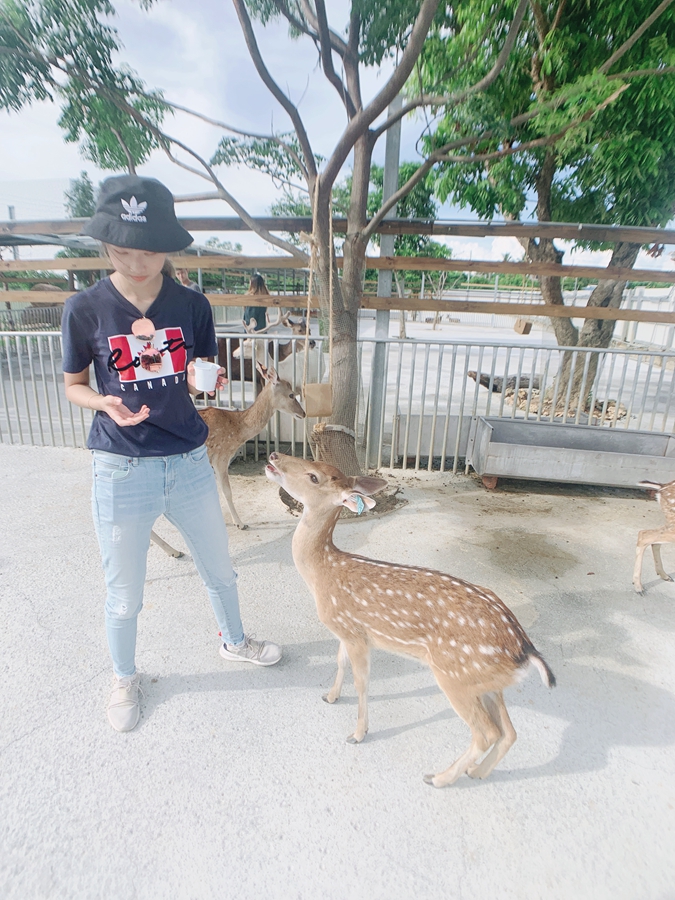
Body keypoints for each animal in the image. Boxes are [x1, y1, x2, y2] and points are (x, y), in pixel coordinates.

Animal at [266, 454, 556, 784]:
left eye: (314, 477)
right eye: (313, 461)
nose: (274, 456)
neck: (322, 573)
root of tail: (525, 649)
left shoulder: (355, 634)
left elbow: (362, 682)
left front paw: (358, 734)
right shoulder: (348, 630)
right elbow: (340, 662)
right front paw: (330, 696)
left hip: (455, 675)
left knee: (486, 733)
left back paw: (439, 778)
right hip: (486, 682)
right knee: (509, 732)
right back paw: (476, 772)